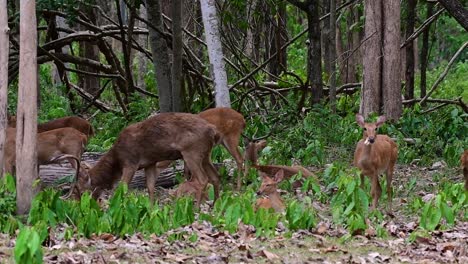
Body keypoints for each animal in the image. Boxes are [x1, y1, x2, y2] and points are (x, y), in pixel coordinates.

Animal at [64, 112, 223, 205]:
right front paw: (151, 208)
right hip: (206, 154)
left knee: (203, 179)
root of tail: (214, 132)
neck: (116, 159)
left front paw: (120, 205)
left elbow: (122, 187)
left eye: (80, 190)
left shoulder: (130, 162)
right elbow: (150, 186)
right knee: (215, 176)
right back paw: (216, 204)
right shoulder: (150, 163)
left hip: (192, 151)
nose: (78, 205)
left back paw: (197, 208)